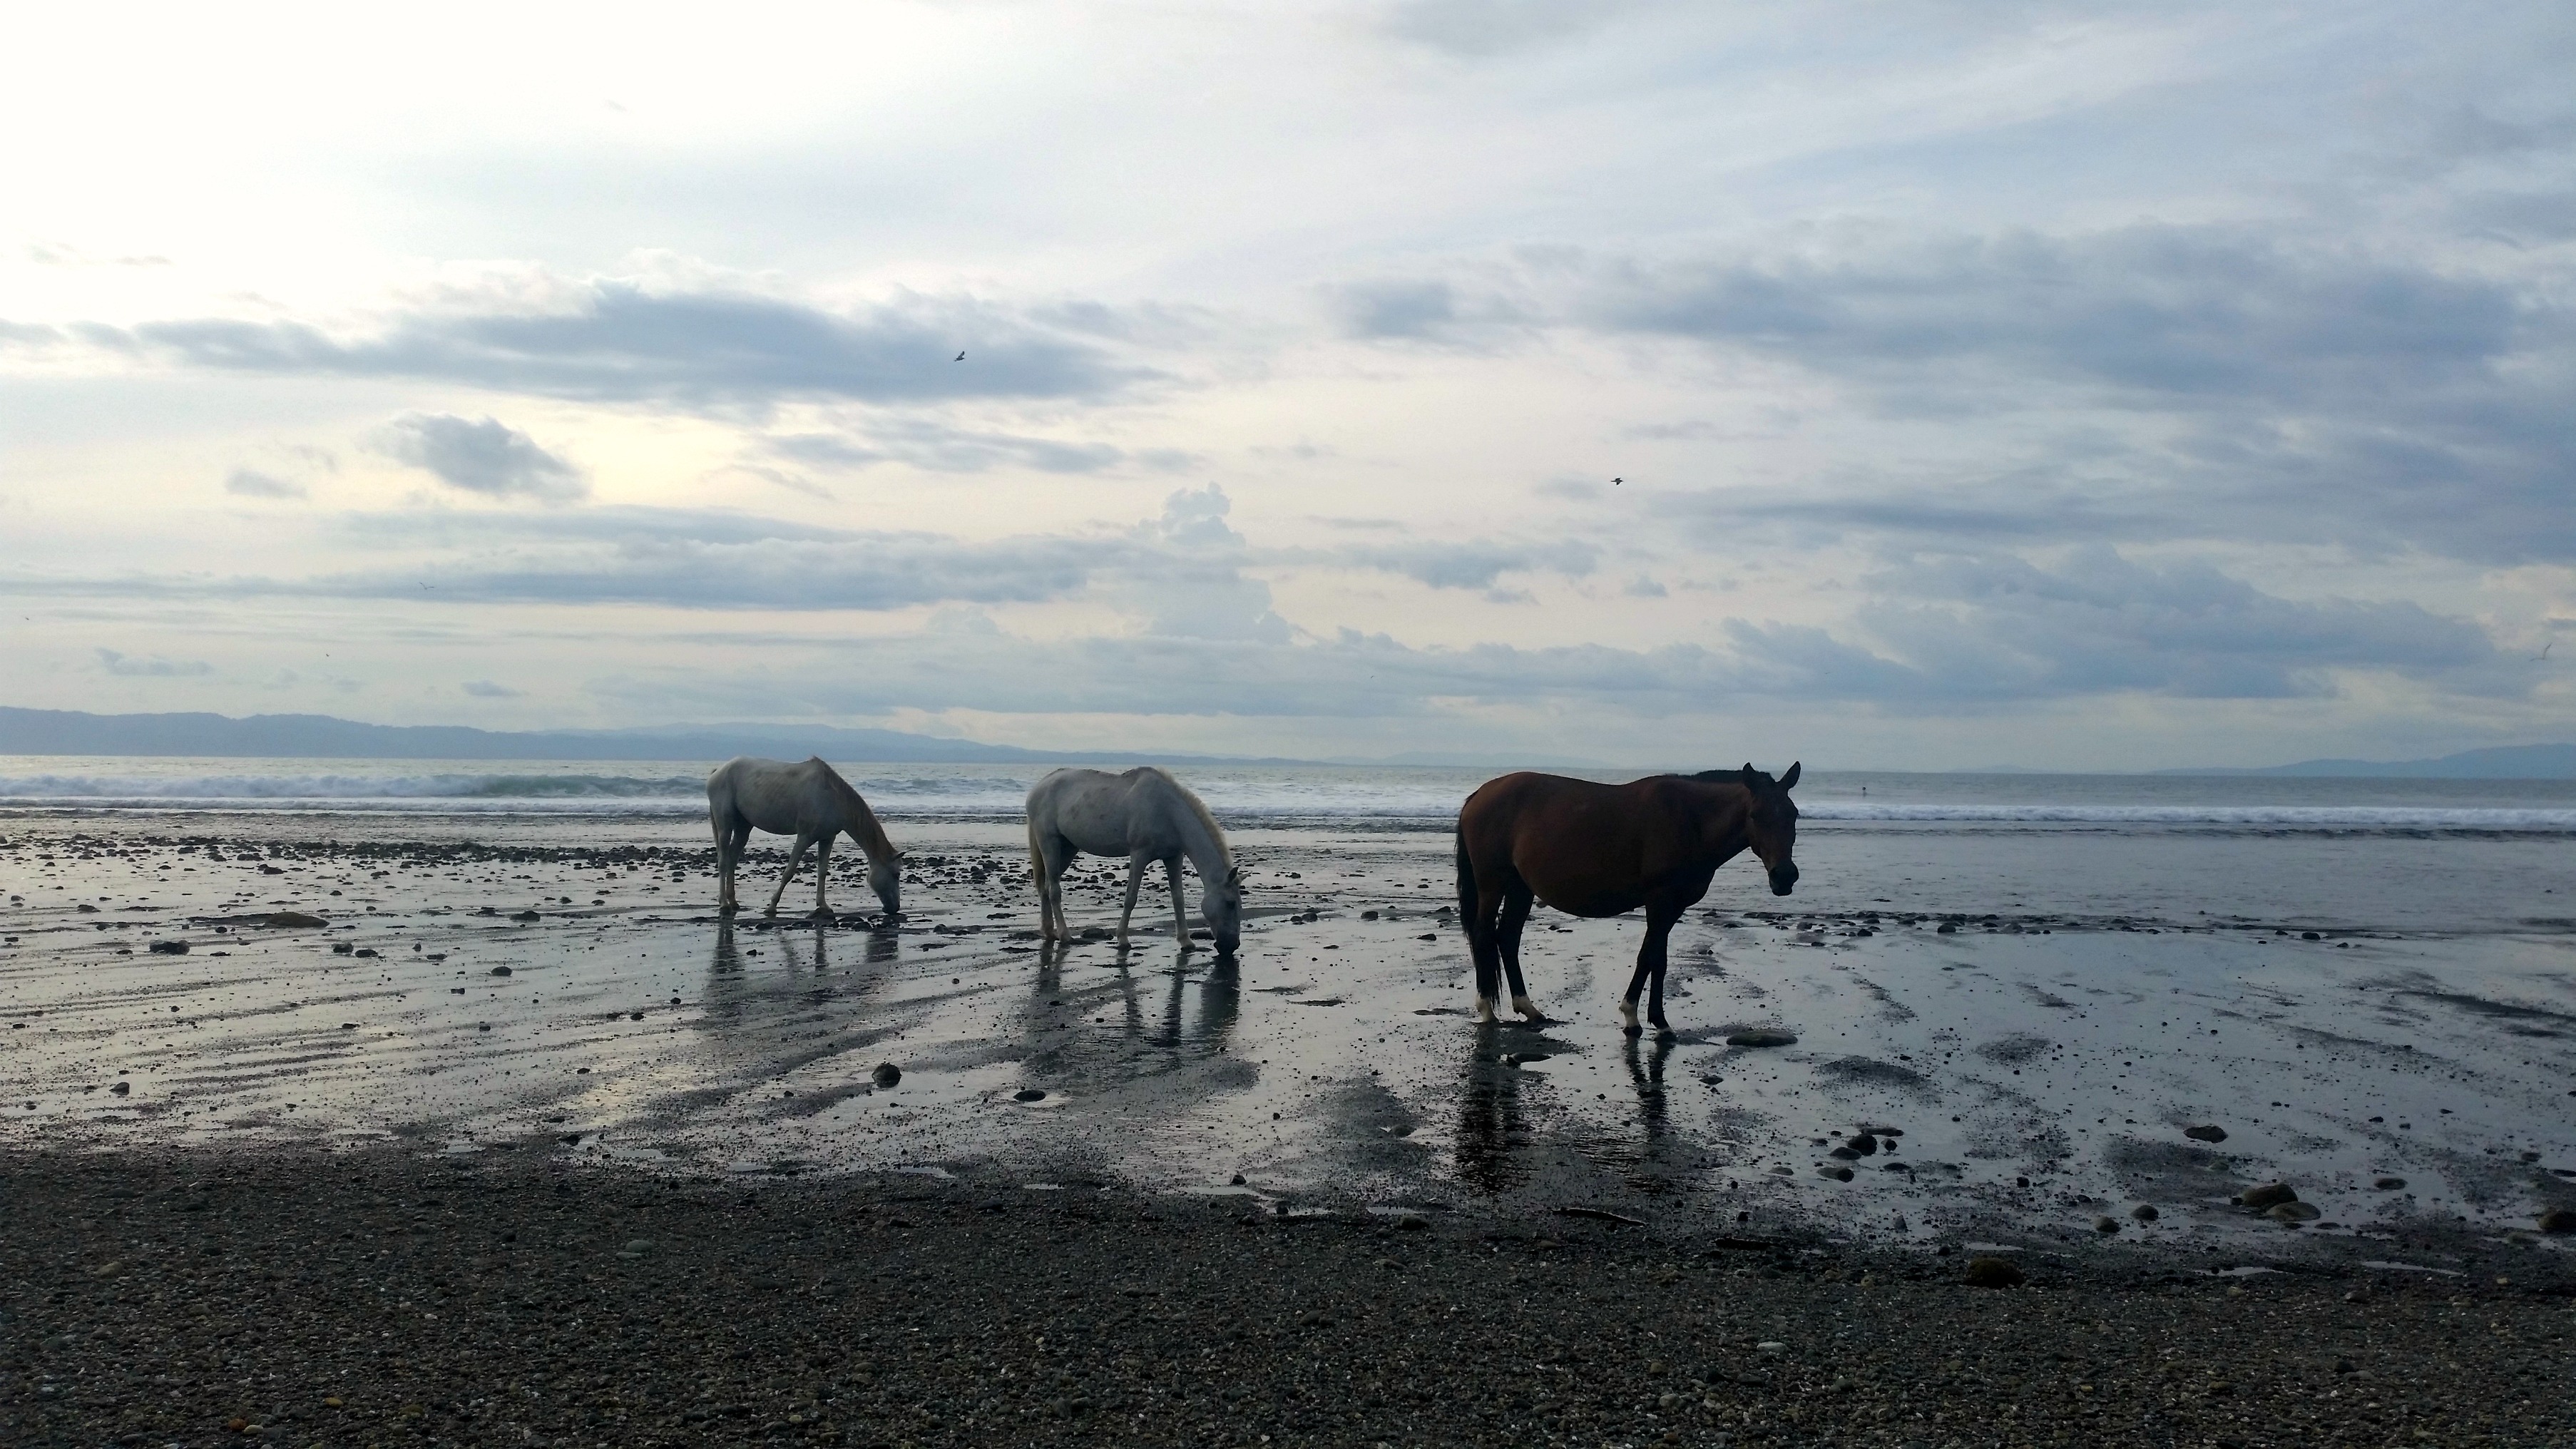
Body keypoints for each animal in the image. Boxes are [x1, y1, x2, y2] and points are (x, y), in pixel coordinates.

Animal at [705, 762, 906, 916]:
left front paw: (823, 906)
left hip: (743, 827)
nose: (894, 908)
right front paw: (771, 907)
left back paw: (733, 902)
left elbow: (822, 872)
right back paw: (724, 903)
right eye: (896, 874)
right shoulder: (805, 837)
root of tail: (717, 772)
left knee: (733, 858)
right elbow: (789, 872)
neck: (832, 797)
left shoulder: (827, 838)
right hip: (725, 823)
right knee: (723, 861)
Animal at [1020, 767, 1241, 957]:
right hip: (1049, 843)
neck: (1167, 811)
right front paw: (1123, 939)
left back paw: (1050, 931)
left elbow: (1178, 899)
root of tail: (1039, 787)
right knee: (1054, 891)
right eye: (1230, 903)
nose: (1231, 946)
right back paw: (1065, 935)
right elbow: (1131, 898)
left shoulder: (1174, 857)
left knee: (1046, 887)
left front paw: (1186, 941)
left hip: (1067, 849)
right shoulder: (1139, 855)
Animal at [1463, 772, 1803, 1029]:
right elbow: (1653, 958)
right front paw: (1643, 1018)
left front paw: (1649, 1018)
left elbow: (1654, 957)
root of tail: (1479, 794)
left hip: (1520, 887)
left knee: (1508, 938)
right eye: (1755, 815)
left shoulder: (1673, 906)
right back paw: (1486, 1008)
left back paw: (1529, 1008)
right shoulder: (1659, 900)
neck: (1691, 819)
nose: (1785, 876)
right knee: (1484, 935)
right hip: (1492, 884)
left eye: (1793, 814)